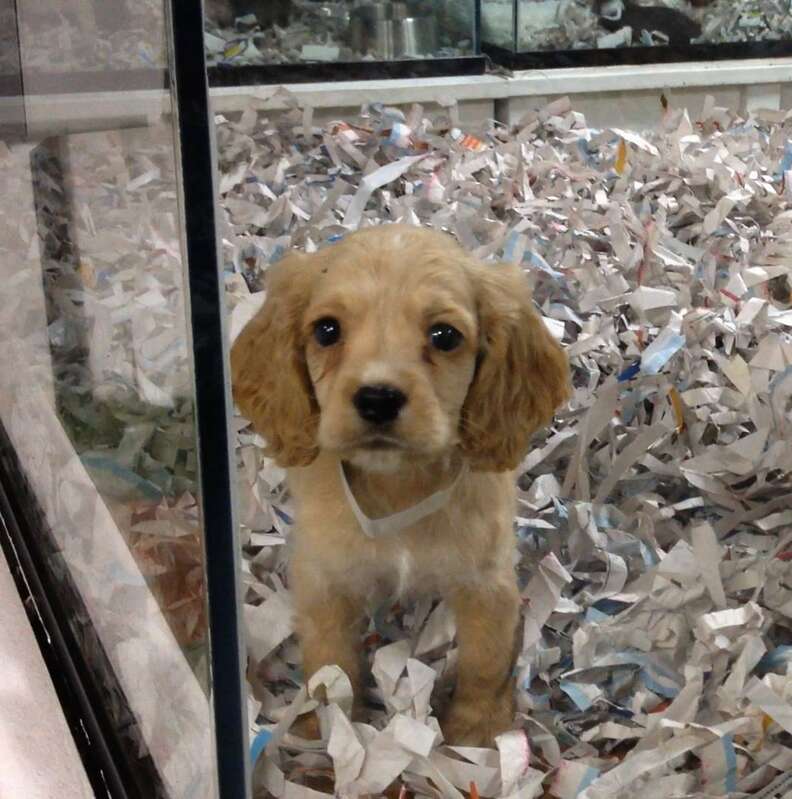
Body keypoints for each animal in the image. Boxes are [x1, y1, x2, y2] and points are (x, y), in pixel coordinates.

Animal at [229, 223, 568, 744]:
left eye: (445, 335)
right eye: (327, 330)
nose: (377, 398)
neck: (398, 484)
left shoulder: (486, 582)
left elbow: (485, 661)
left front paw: (476, 731)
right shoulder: (325, 579)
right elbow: (329, 662)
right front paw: (327, 726)